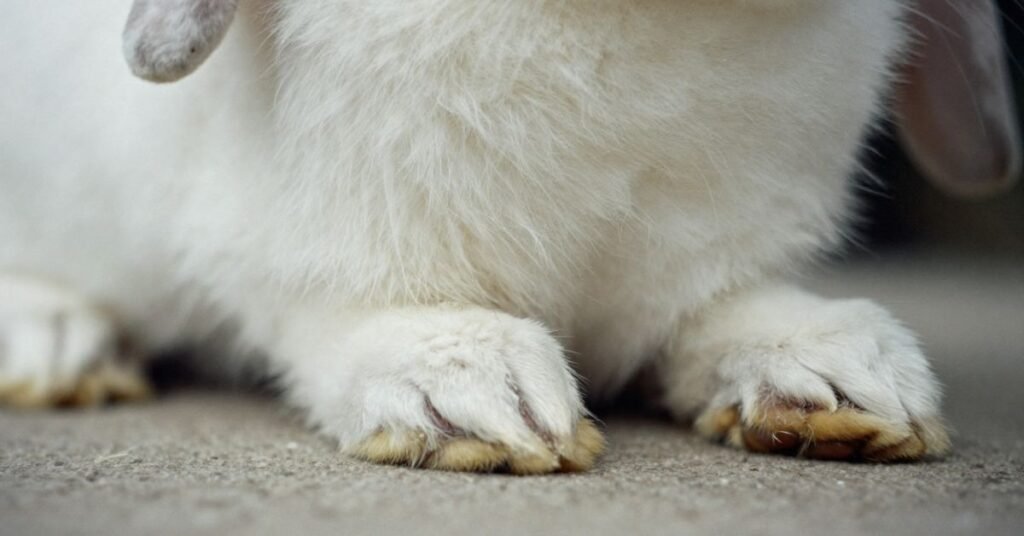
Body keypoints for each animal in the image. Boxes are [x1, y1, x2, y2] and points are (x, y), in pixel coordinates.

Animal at [0, 0, 1017, 473]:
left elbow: (708, 320)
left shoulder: (690, 268)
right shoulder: (274, 243)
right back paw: (57, 348)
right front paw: (475, 400)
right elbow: (334, 318)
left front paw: (837, 378)